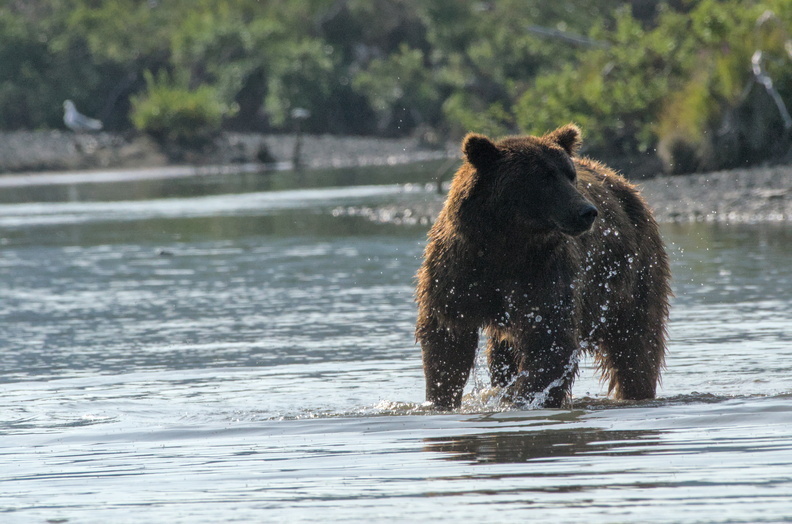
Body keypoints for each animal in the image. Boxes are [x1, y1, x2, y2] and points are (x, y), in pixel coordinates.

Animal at [415, 124, 671, 410]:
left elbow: (550, 339)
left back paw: (637, 391)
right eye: (544, 178)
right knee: (502, 354)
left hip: (632, 276)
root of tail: (624, 183)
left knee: (636, 345)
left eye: (570, 175)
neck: (507, 244)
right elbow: (447, 339)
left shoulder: (544, 272)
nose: (587, 211)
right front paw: (440, 399)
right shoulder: (459, 271)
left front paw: (524, 399)